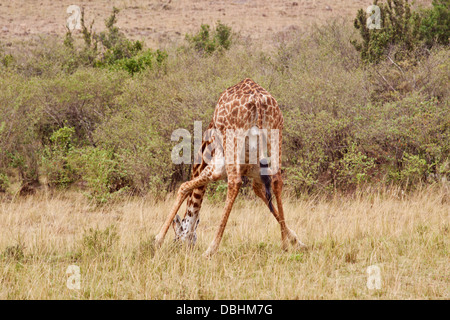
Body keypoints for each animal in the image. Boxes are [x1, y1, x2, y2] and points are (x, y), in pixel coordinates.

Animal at [155, 78, 306, 258]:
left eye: (177, 238)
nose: (180, 250)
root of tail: (258, 100)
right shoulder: (254, 171)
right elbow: (260, 192)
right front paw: (296, 240)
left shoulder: (217, 167)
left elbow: (184, 187)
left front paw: (157, 239)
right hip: (276, 135)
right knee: (277, 180)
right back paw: (283, 245)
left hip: (232, 145)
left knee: (234, 183)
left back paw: (210, 249)